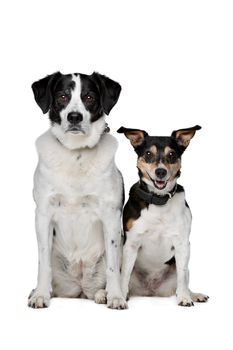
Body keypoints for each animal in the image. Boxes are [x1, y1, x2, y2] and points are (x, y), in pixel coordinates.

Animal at [28, 71, 127, 308]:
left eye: (89, 97)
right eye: (62, 96)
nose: (75, 117)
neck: (76, 154)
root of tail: (80, 287)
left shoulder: (111, 216)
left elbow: (113, 268)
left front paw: (116, 296)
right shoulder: (43, 214)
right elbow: (43, 263)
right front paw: (40, 294)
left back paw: (103, 294)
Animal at [117, 125, 208, 306]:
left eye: (172, 154)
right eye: (148, 154)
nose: (160, 172)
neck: (159, 201)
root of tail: (151, 291)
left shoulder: (182, 244)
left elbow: (182, 275)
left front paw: (185, 298)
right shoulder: (131, 244)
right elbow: (124, 275)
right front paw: (121, 297)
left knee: (183, 280)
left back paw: (193, 294)